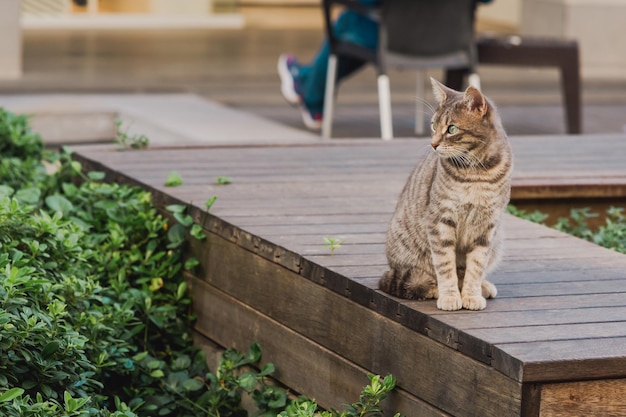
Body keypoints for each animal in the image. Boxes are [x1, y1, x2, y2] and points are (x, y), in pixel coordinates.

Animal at [378, 77, 510, 308]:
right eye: (433, 126)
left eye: (452, 129)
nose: (433, 144)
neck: (476, 172)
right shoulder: (440, 221)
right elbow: (445, 266)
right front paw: (449, 296)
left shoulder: (487, 227)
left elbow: (475, 267)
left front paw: (471, 294)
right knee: (418, 278)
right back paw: (434, 288)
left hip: (497, 241)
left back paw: (482, 287)